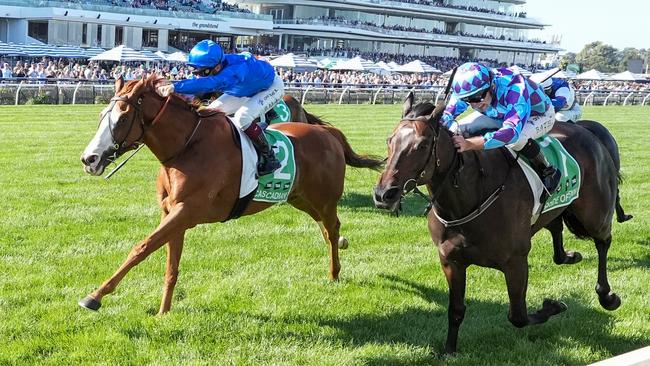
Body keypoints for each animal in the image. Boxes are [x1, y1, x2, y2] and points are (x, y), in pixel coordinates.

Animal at [77, 75, 380, 314]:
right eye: (101, 115)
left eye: (122, 118)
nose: (89, 159)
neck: (187, 148)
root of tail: (329, 133)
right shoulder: (173, 213)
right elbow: (170, 264)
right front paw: (163, 311)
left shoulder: (187, 211)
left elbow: (142, 247)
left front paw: (94, 296)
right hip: (300, 198)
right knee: (325, 229)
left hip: (324, 199)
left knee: (332, 226)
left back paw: (334, 271)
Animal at [372, 95, 624, 354]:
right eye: (389, 141)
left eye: (422, 145)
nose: (384, 194)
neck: (470, 197)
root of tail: (588, 131)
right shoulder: (451, 260)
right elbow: (455, 310)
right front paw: (449, 350)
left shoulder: (516, 262)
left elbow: (518, 316)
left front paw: (553, 306)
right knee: (556, 228)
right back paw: (569, 256)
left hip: (594, 214)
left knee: (603, 241)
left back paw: (607, 296)